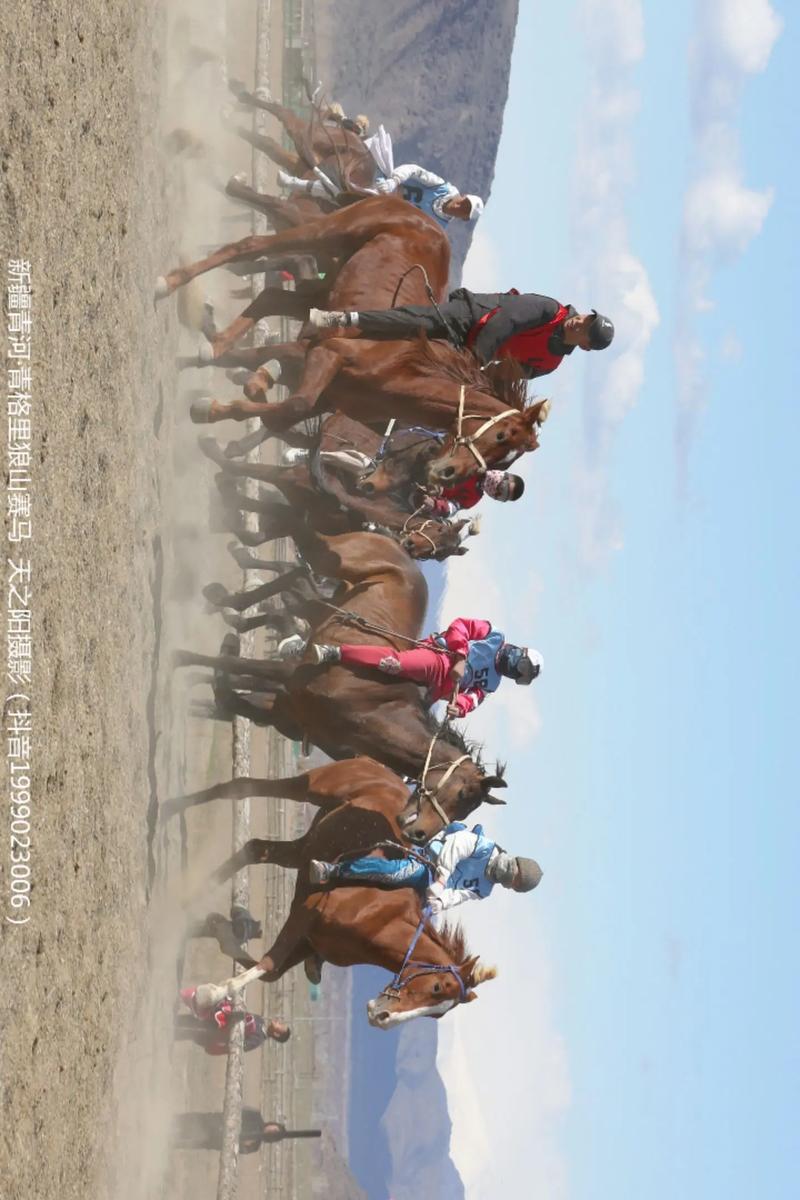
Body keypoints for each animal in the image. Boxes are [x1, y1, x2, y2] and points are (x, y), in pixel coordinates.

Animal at [173, 530, 506, 840]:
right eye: (462, 795)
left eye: (464, 811)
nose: (418, 835)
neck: (371, 707)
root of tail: (401, 547)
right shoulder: (289, 674)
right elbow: (230, 666)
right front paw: (180, 660)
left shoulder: (285, 708)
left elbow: (231, 694)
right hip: (335, 563)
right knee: (297, 561)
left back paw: (228, 600)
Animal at [176, 753, 494, 1027]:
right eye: (437, 987)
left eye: (437, 1013)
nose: (382, 1018)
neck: (378, 919)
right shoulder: (306, 912)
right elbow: (269, 963)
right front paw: (208, 994)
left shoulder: (311, 943)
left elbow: (271, 971)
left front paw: (216, 928)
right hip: (312, 787)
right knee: (240, 787)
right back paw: (172, 807)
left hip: (303, 850)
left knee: (256, 848)